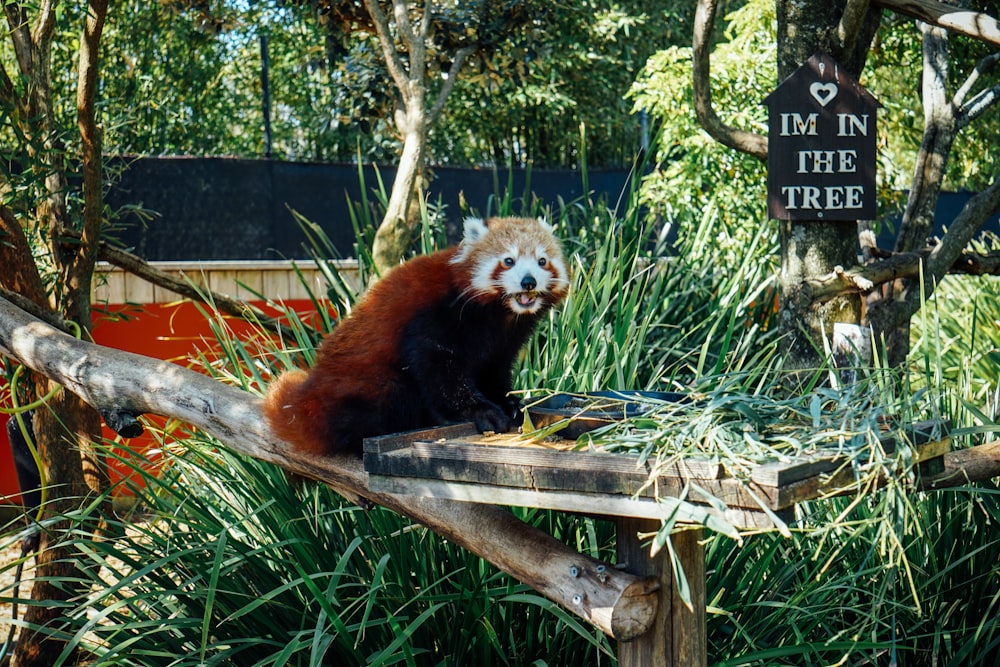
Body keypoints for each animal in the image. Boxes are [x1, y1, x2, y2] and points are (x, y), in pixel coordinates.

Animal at [262, 217, 568, 456]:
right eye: (508, 261)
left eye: (542, 261)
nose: (528, 281)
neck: (500, 313)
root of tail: (308, 393)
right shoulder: (436, 316)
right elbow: (439, 369)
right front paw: (481, 411)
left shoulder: (504, 341)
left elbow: (494, 369)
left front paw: (509, 403)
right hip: (366, 386)